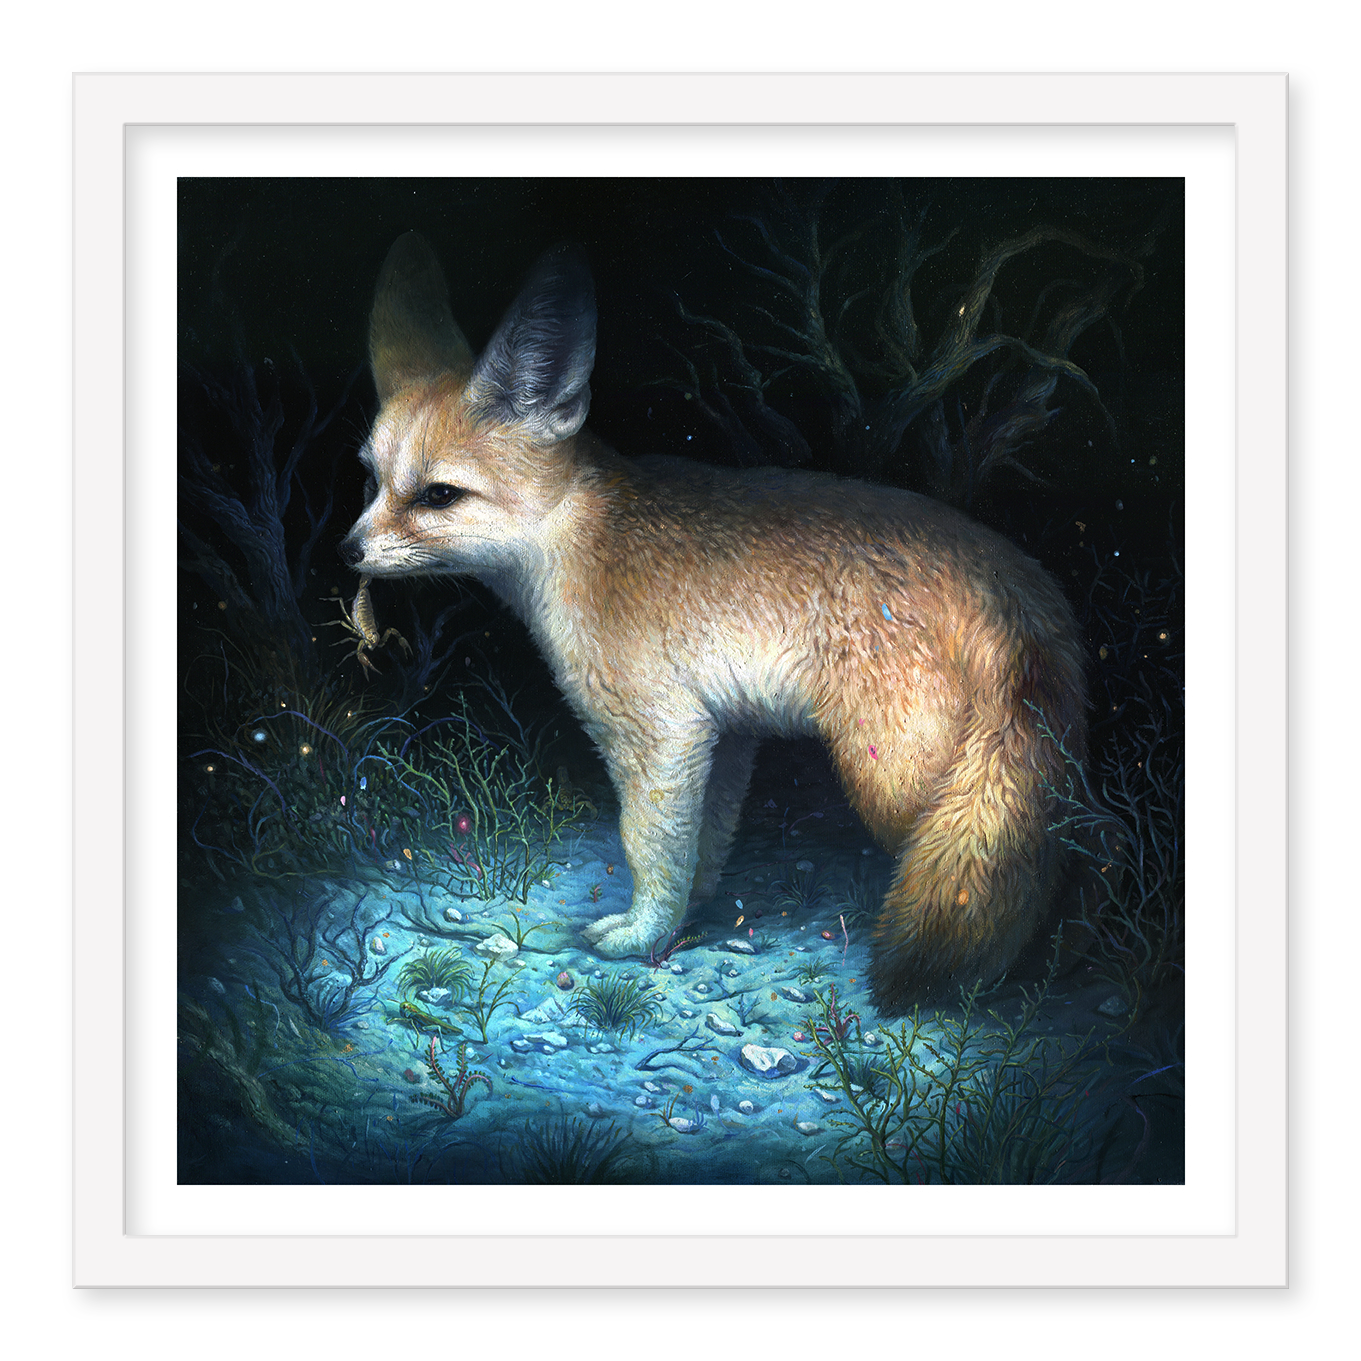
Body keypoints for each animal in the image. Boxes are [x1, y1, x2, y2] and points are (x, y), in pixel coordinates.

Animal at [339, 231, 1088, 1013]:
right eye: (371, 481)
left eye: (438, 496)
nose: (346, 550)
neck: (577, 536)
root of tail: (1015, 578)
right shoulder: (721, 734)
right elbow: (701, 849)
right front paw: (678, 925)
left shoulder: (659, 733)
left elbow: (650, 847)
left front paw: (641, 931)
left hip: (896, 781)